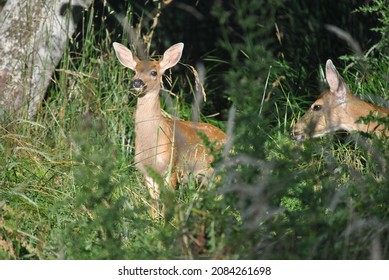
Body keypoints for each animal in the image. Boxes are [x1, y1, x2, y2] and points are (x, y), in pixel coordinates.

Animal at [112, 41, 226, 218]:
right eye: (135, 70)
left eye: (153, 72)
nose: (137, 82)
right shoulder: (147, 172)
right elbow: (153, 202)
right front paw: (154, 221)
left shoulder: (172, 167)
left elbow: (167, 202)